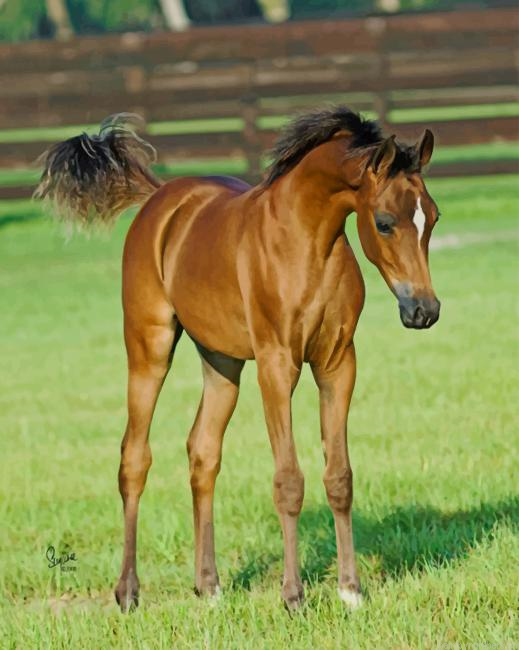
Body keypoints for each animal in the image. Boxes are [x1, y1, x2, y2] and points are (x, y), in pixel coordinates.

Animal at [35, 107, 441, 612]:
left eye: (434, 219)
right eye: (384, 222)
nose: (424, 311)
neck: (308, 243)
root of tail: (159, 197)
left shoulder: (337, 364)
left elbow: (340, 476)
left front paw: (350, 591)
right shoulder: (277, 366)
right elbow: (288, 481)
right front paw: (293, 597)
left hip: (222, 362)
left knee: (203, 451)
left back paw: (208, 587)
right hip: (149, 348)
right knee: (134, 458)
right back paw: (128, 591)